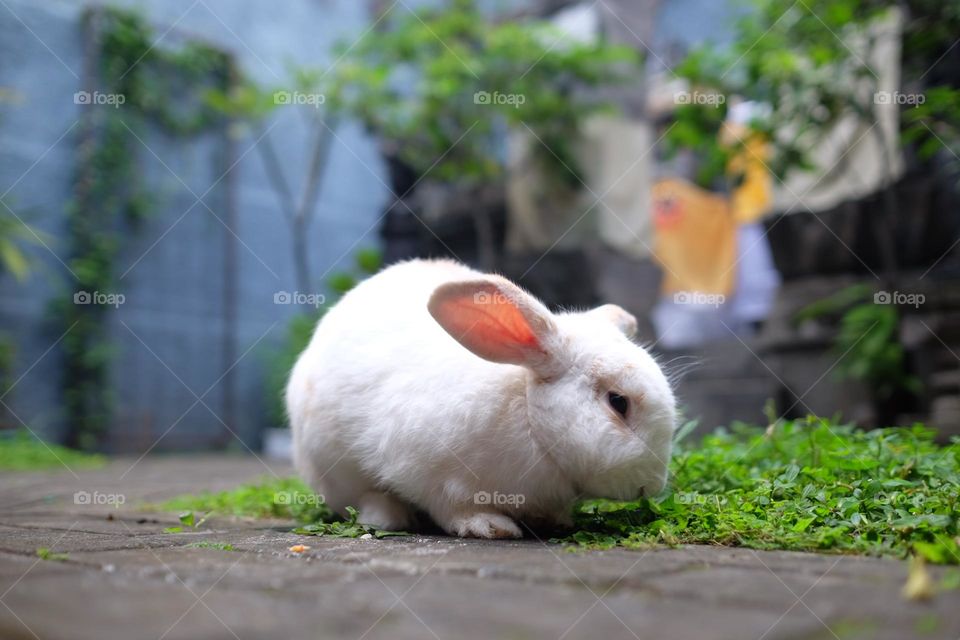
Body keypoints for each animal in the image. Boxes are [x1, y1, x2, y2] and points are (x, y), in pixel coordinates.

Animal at [286, 258, 677, 539]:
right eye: (618, 402)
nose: (651, 485)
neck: (531, 419)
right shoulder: (424, 470)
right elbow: (451, 506)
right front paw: (491, 526)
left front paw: (556, 521)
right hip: (331, 468)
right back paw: (389, 518)